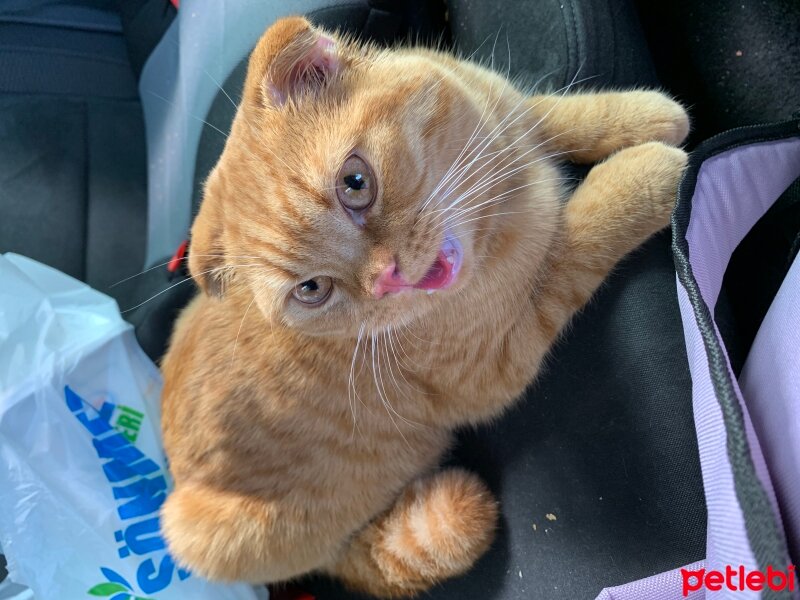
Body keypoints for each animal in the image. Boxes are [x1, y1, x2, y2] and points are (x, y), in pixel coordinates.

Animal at [161, 16, 688, 596]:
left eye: (356, 183)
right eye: (312, 289)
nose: (385, 279)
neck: (499, 203)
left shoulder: (500, 105)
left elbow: (547, 112)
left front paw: (645, 113)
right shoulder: (499, 363)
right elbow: (575, 242)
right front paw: (644, 173)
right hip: (206, 534)